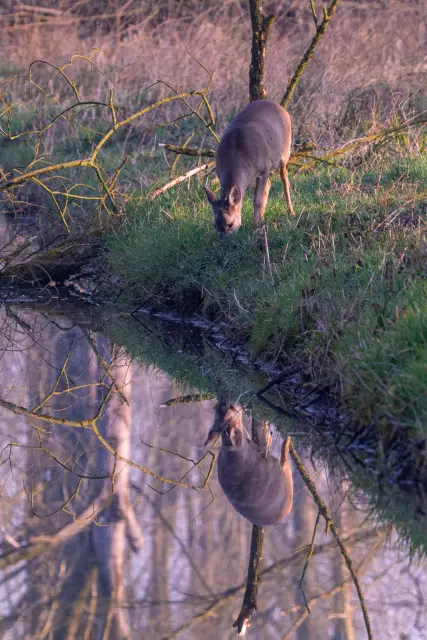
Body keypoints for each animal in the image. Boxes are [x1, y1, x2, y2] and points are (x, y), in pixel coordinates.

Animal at [204, 100, 294, 235]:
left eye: (230, 224)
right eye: (215, 225)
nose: (224, 239)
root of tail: (280, 107)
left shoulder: (264, 168)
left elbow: (257, 201)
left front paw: (255, 227)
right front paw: (259, 222)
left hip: (285, 152)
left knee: (285, 180)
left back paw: (291, 212)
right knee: (269, 184)